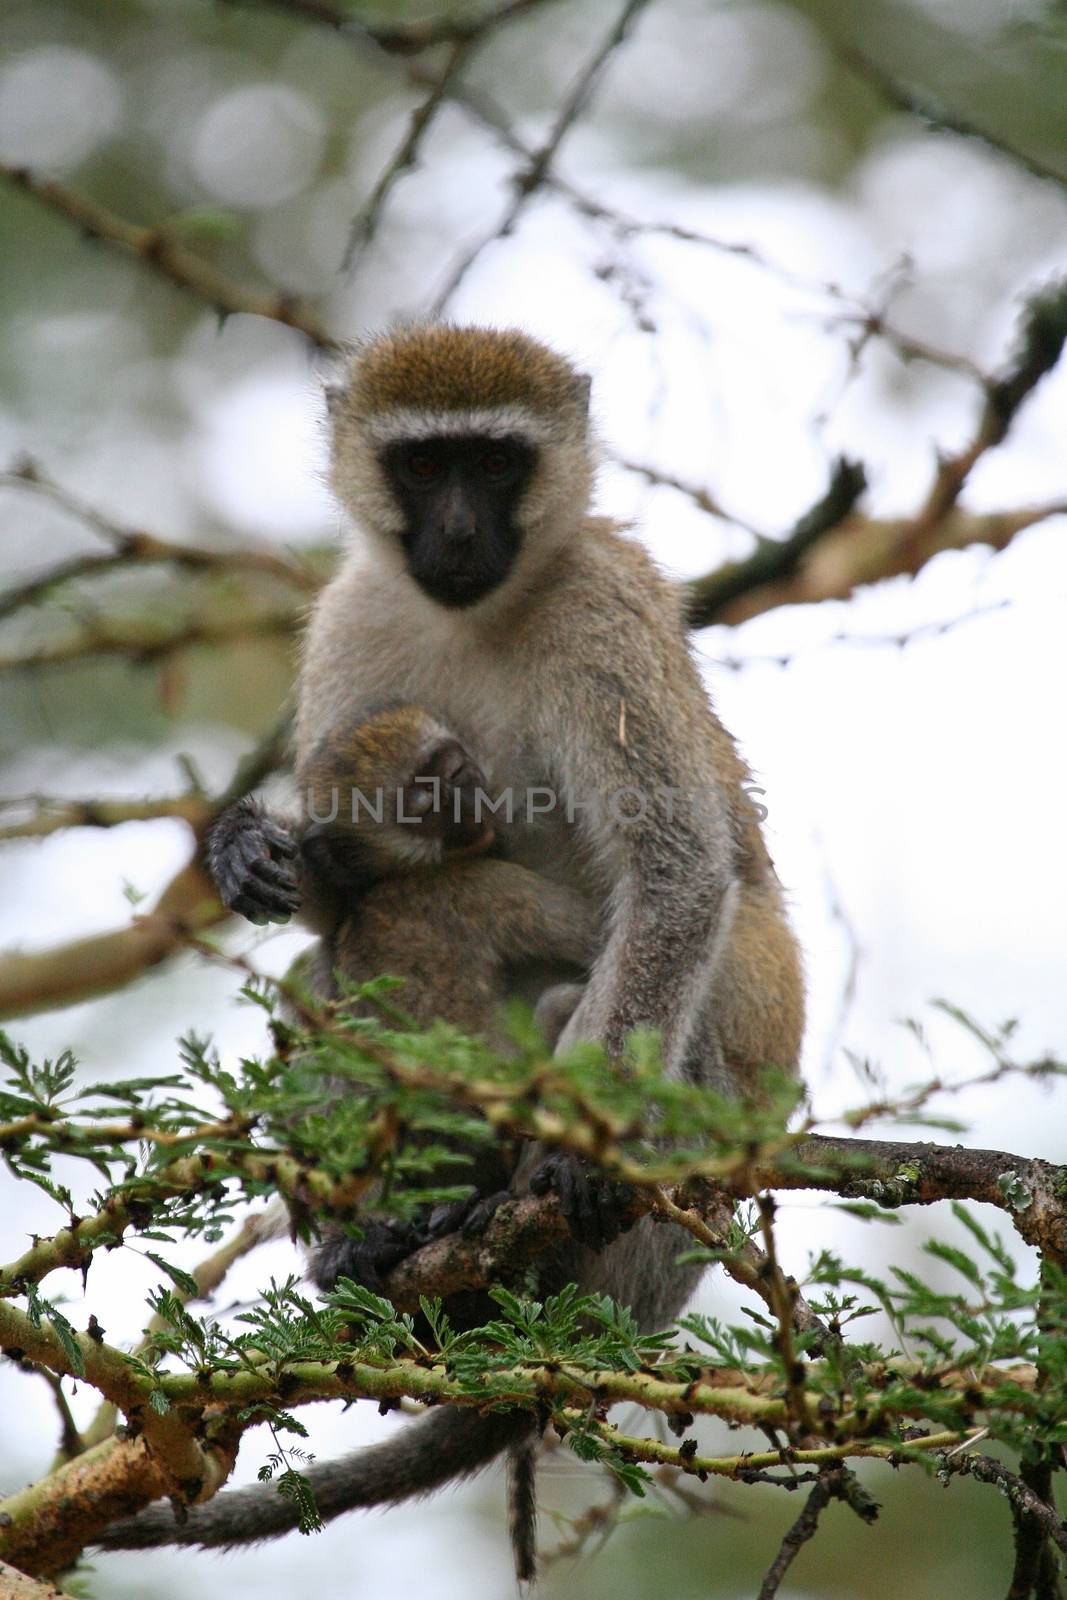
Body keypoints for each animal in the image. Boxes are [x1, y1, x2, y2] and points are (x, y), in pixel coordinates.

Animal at [97, 324, 799, 1574]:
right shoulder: (353, 617)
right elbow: (333, 903)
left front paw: (570, 1154)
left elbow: (674, 873)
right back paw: (378, 1245)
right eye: (425, 467)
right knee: (321, 975)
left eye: (495, 462)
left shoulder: (603, 611)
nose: (462, 533)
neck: (482, 612)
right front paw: (245, 847)